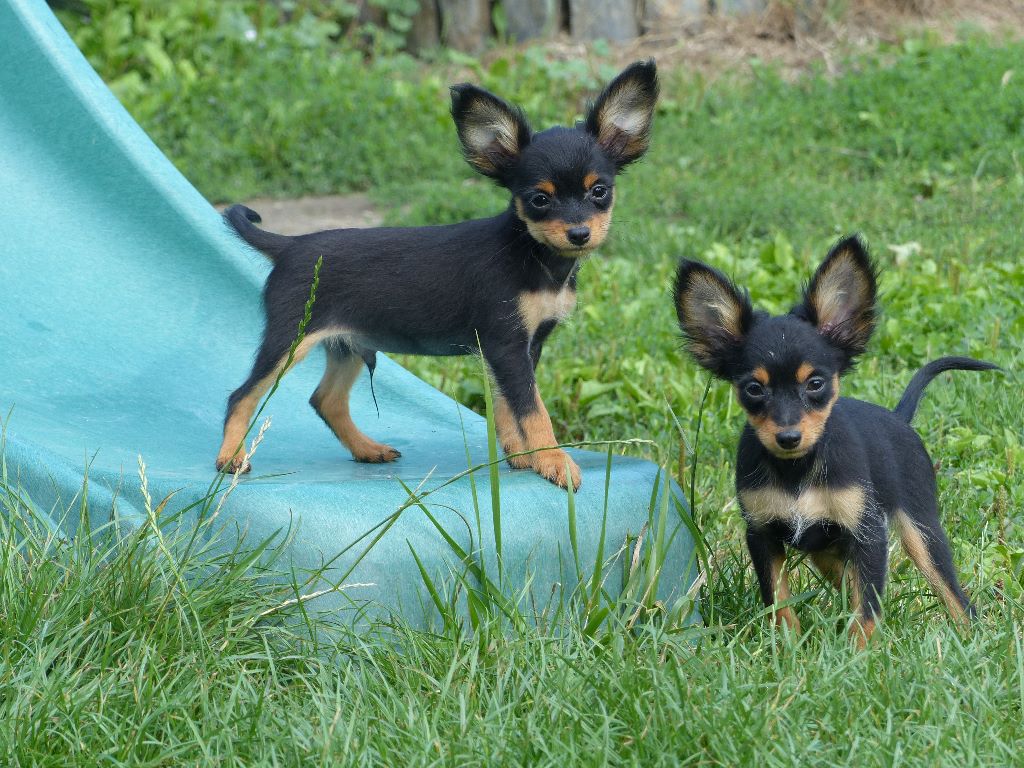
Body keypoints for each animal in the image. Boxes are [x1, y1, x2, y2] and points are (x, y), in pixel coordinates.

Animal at [219, 61, 659, 493]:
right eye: (539, 199)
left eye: (599, 191)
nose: (579, 233)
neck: (532, 256)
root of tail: (289, 245)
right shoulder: (506, 346)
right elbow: (533, 410)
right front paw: (552, 460)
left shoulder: (522, 349)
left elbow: (509, 407)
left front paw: (522, 458)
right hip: (290, 340)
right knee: (242, 395)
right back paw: (231, 458)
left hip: (346, 344)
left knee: (326, 400)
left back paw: (367, 449)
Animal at [675, 237, 995, 647]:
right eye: (753, 389)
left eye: (815, 383)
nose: (788, 437)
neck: (797, 470)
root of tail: (898, 418)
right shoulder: (762, 534)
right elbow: (779, 600)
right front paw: (788, 648)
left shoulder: (869, 535)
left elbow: (868, 608)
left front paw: (860, 653)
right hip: (826, 550)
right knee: (848, 582)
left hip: (921, 533)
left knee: (952, 595)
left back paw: (971, 635)